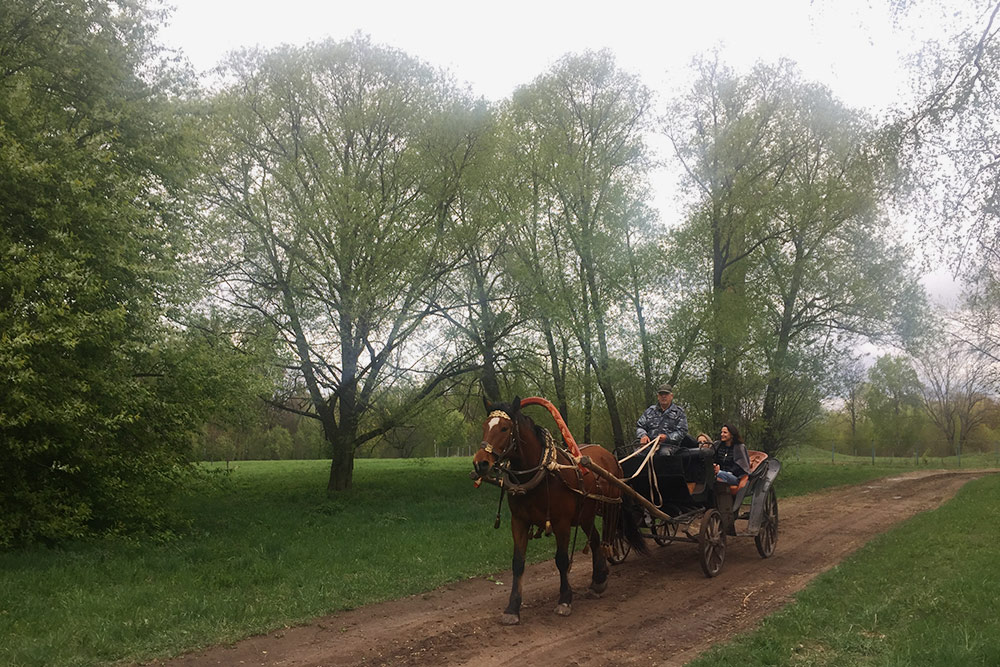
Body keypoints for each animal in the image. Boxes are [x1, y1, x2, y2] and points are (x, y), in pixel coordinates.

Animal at [470, 396, 644, 628]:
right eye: (484, 427)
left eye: (505, 428)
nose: (480, 463)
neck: (540, 472)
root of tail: (610, 455)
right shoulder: (519, 521)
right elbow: (518, 563)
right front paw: (512, 608)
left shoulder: (561, 522)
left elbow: (561, 560)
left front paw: (564, 600)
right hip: (586, 514)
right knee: (596, 539)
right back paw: (598, 579)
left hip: (610, 506)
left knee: (606, 537)